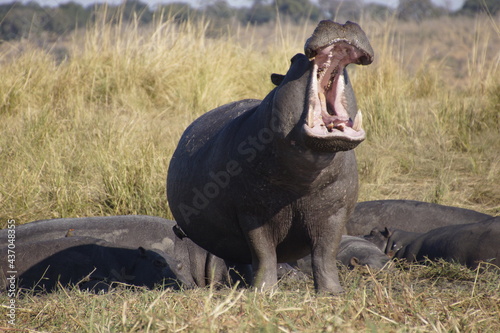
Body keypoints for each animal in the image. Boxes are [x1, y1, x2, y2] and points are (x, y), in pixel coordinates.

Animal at [166, 20, 374, 294]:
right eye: (293, 59)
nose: (340, 22)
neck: (305, 177)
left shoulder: (333, 212)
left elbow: (325, 254)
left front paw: (332, 293)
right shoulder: (253, 213)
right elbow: (264, 252)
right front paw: (264, 291)